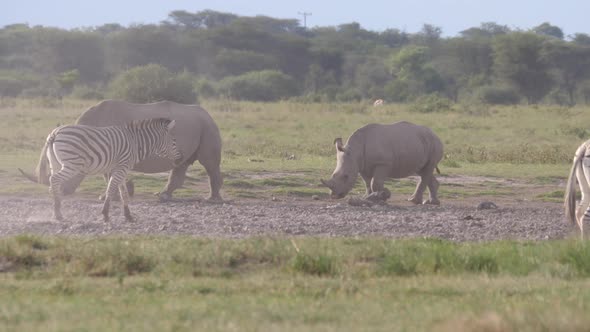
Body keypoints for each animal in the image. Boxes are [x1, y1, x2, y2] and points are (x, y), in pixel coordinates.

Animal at [33, 118, 183, 222]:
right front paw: (105, 214)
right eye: (174, 141)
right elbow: (111, 189)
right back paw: (58, 214)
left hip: (55, 163)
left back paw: (56, 211)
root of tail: (55, 132)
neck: (135, 143)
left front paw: (128, 216)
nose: (180, 160)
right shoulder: (121, 167)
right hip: (73, 165)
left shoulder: (121, 169)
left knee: (54, 183)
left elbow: (123, 193)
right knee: (54, 179)